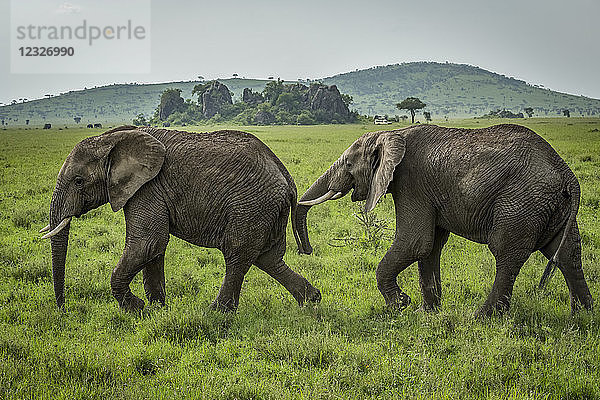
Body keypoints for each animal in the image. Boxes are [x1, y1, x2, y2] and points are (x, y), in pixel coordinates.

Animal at [39, 125, 322, 312]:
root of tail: (286, 176)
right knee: (267, 258)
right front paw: (157, 309)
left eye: (78, 181)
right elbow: (153, 249)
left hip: (251, 206)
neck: (112, 139)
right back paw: (311, 301)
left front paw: (137, 308)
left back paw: (216, 313)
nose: (62, 308)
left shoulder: (148, 188)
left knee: (238, 255)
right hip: (265, 210)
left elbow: (148, 242)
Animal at [296, 123, 592, 318]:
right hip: (553, 207)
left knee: (507, 253)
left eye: (348, 164)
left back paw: (482, 318)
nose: (305, 250)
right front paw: (427, 312)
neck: (393, 134)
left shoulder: (410, 183)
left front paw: (400, 305)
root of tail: (566, 173)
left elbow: (415, 242)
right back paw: (582, 316)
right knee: (567, 253)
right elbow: (430, 247)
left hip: (521, 202)